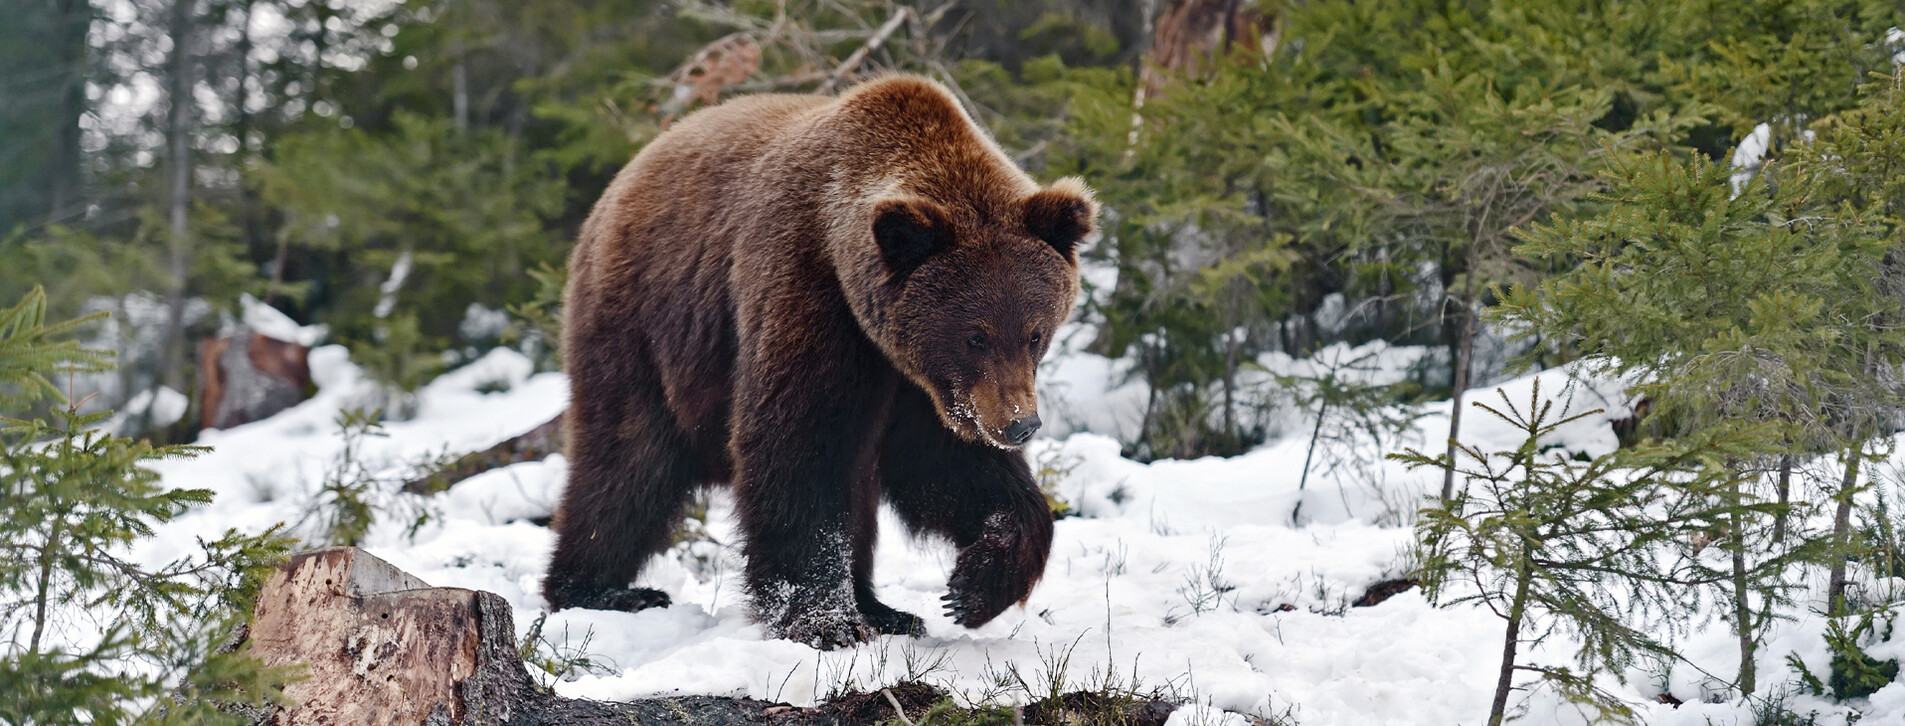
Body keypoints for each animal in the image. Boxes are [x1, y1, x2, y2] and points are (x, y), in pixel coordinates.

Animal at [544, 74, 1097, 644]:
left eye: (1035, 333)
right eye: (974, 337)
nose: (1020, 425)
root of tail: (622, 179)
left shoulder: (917, 382)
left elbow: (944, 462)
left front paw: (974, 587)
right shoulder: (808, 292)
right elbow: (800, 445)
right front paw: (823, 622)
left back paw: (884, 608)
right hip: (642, 325)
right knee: (629, 459)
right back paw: (602, 589)